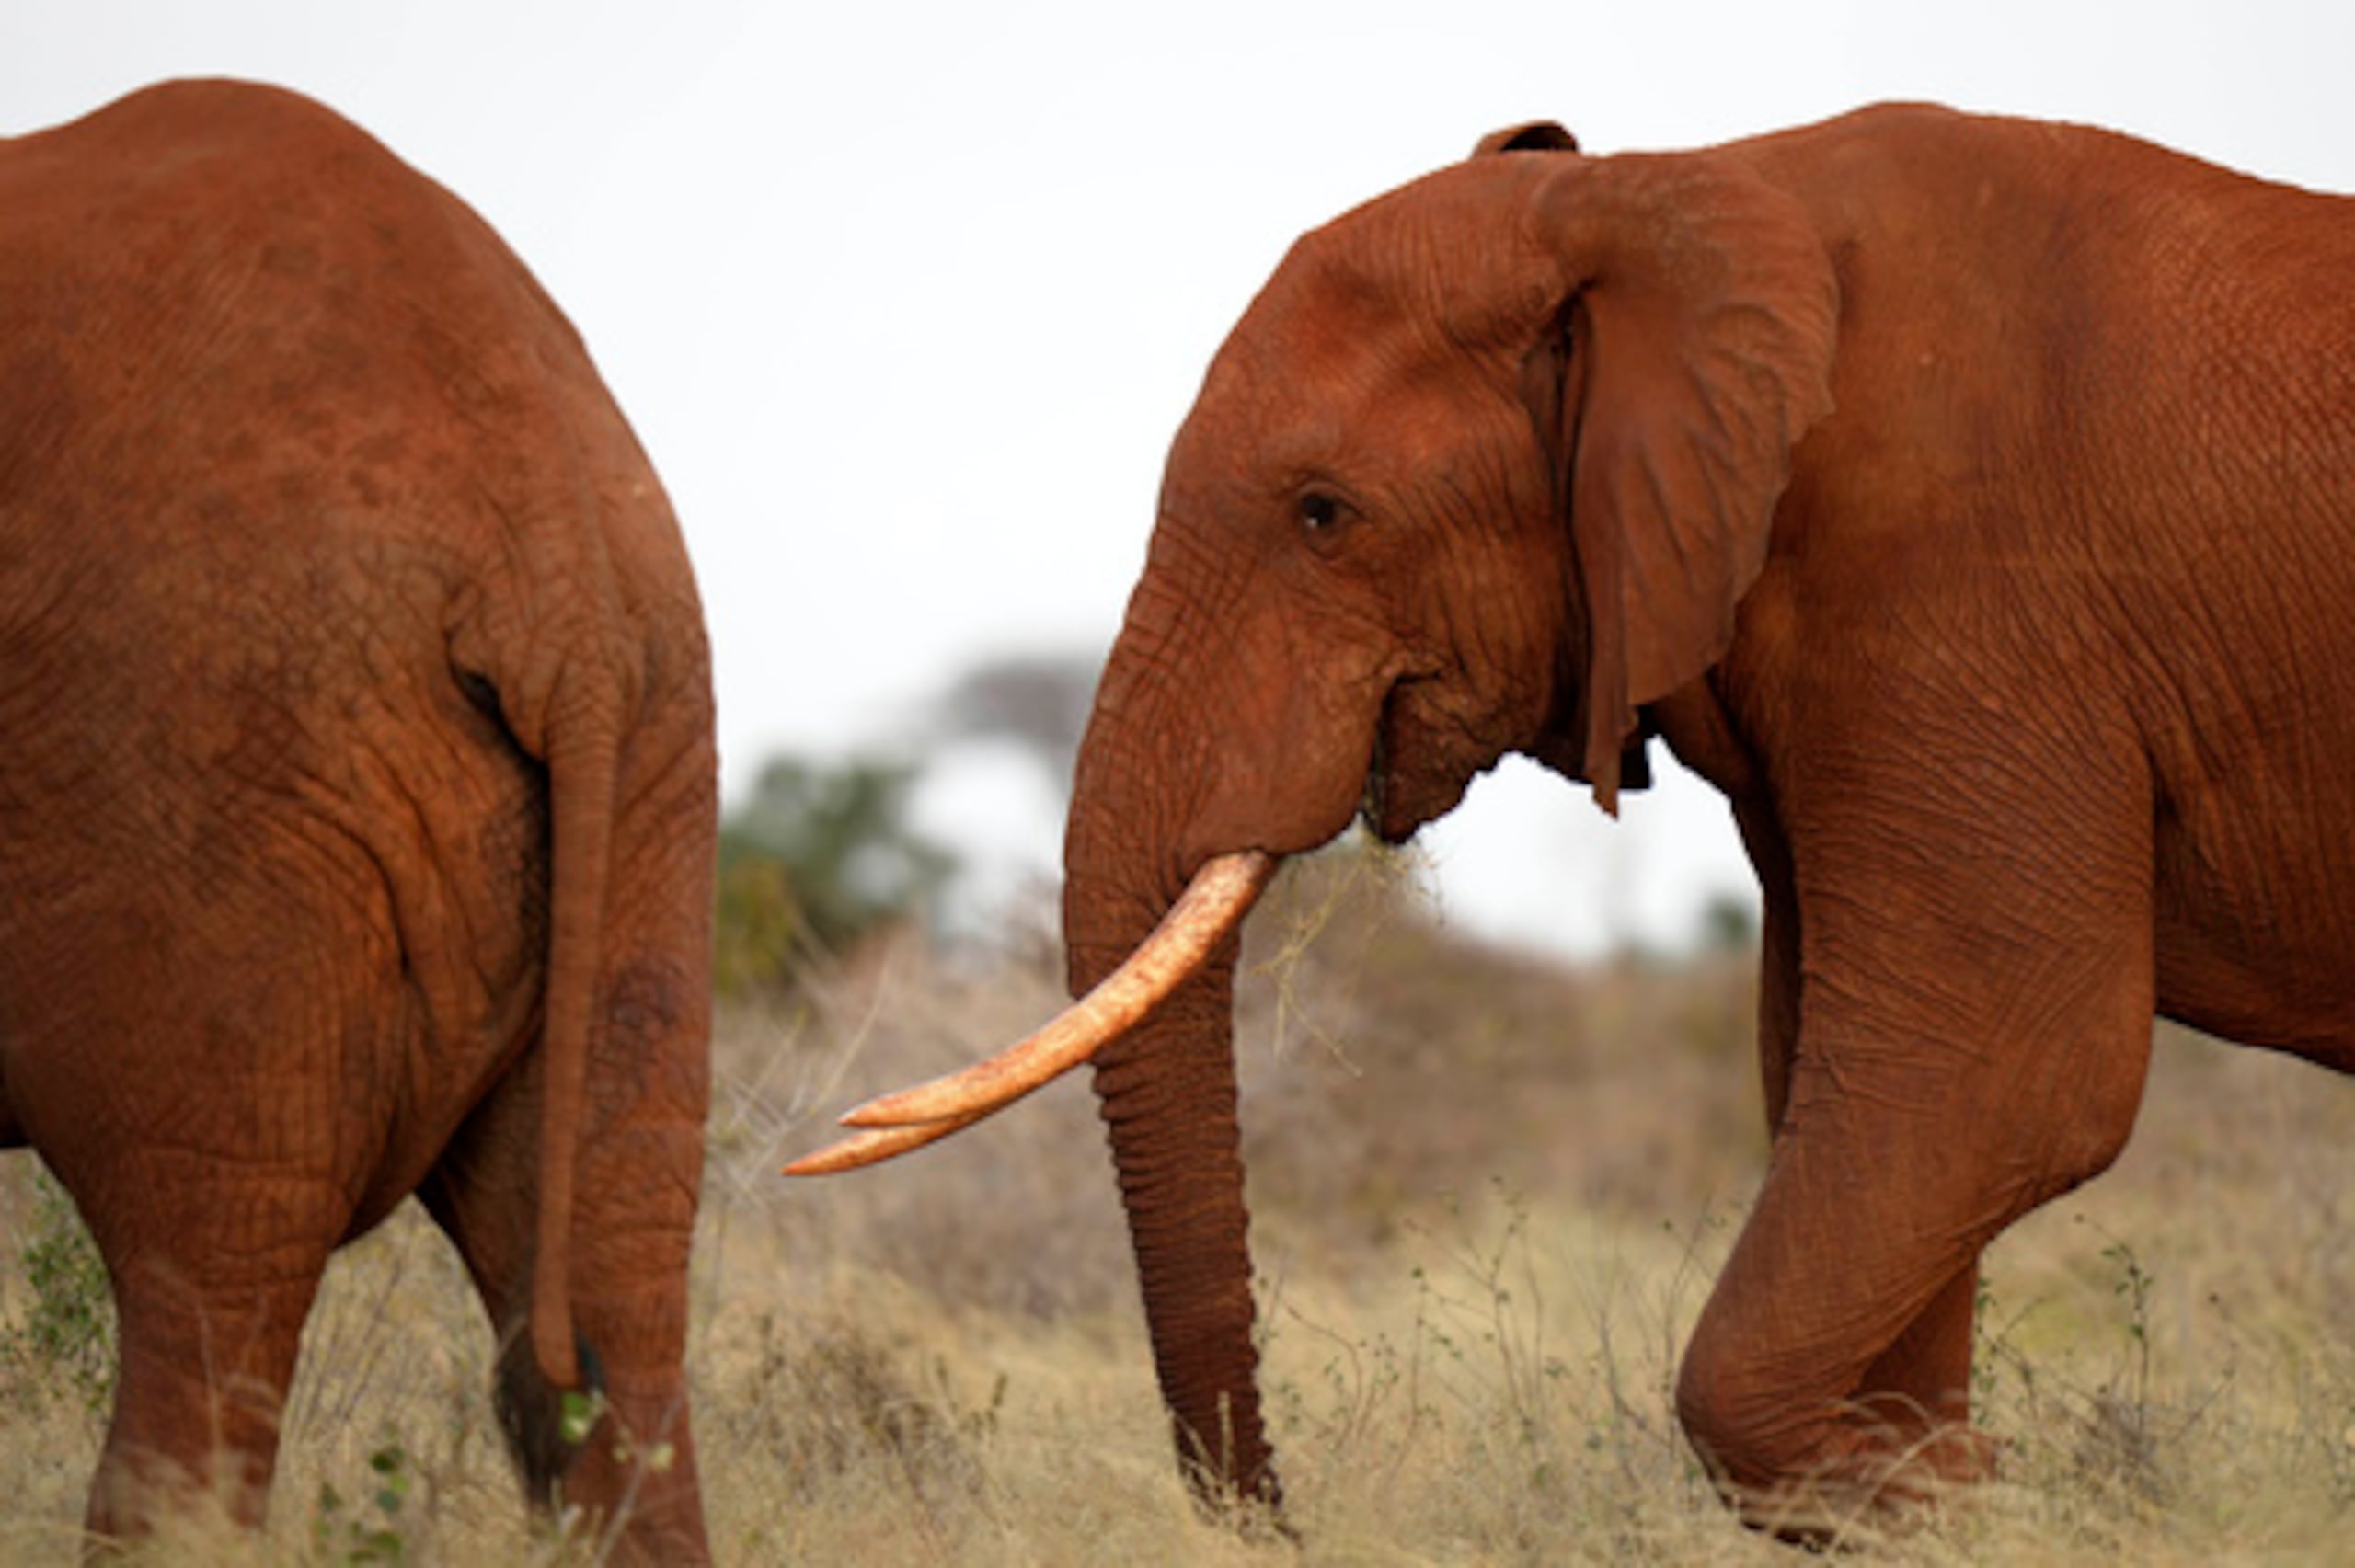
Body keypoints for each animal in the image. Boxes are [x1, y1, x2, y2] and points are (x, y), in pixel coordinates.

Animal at [795, 103, 2355, 1534]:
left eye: (1323, 513)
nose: (1287, 1518)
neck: (1673, 197)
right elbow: (1848, 1080)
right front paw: (1952, 1483)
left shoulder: (1961, 592)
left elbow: (2002, 1077)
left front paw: (1970, 1486)